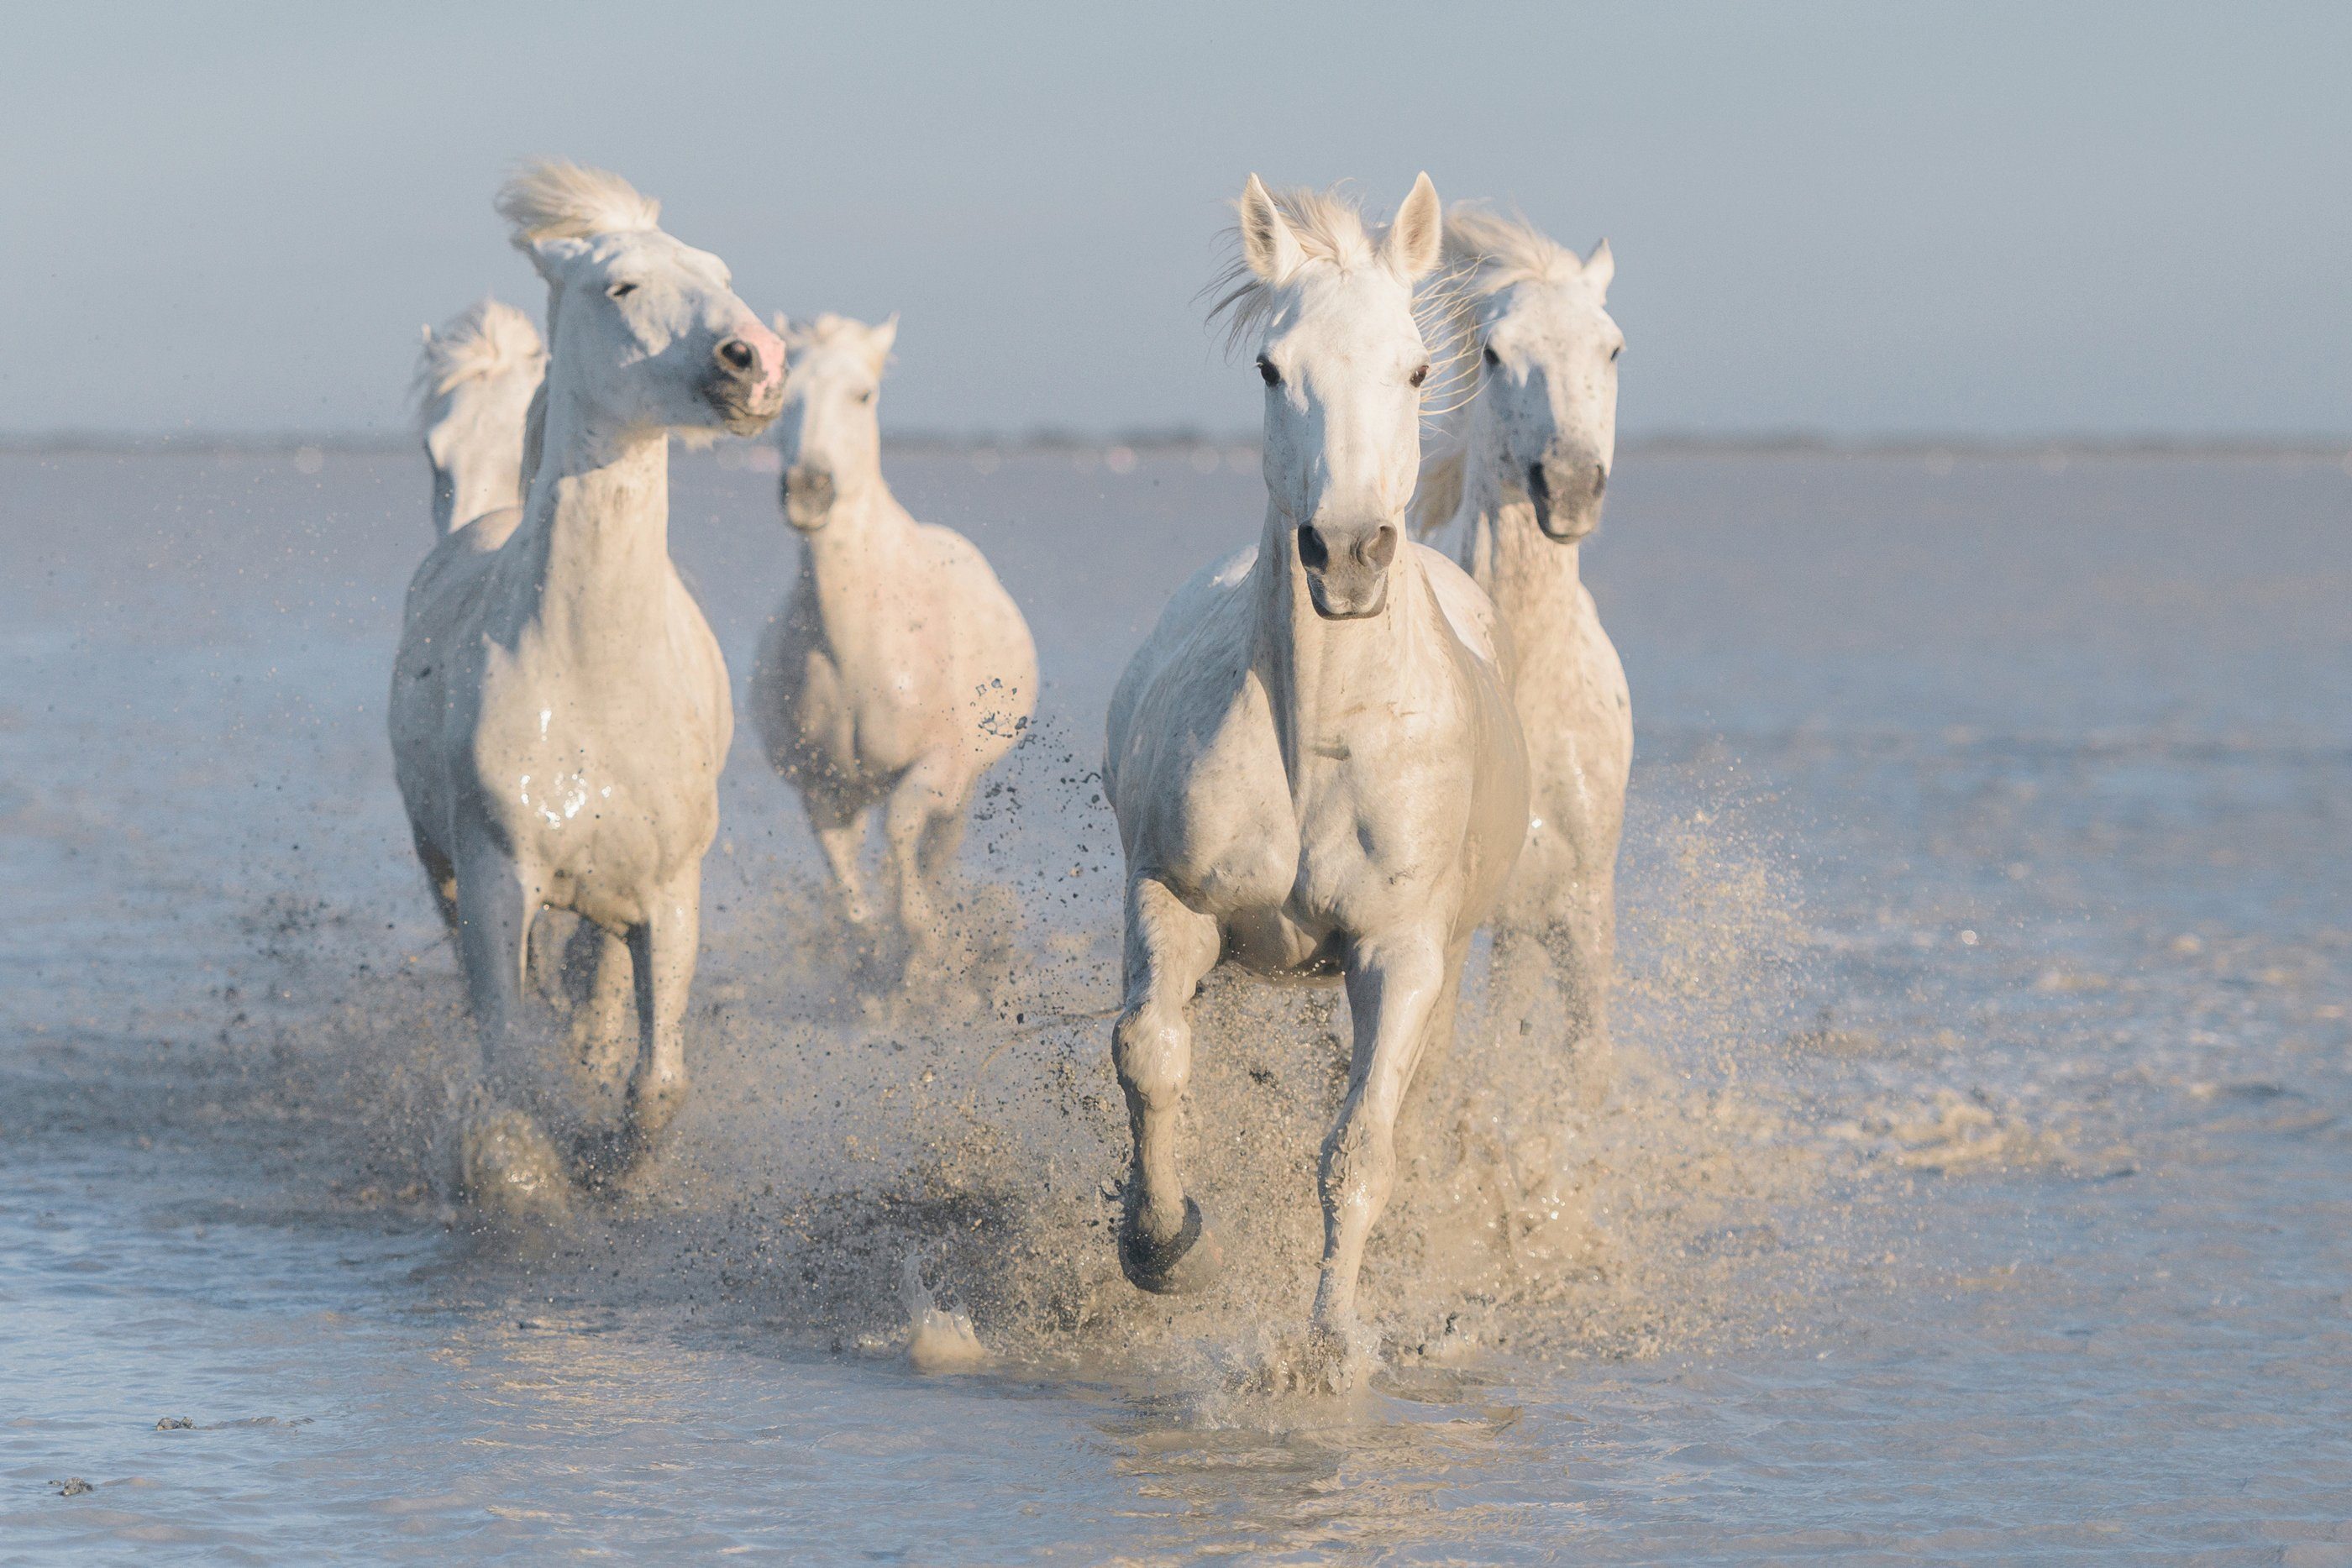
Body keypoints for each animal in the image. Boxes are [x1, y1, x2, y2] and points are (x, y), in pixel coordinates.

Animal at [1105, 177, 1533, 1363]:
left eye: (1417, 368)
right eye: (1270, 366)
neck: (1322, 742)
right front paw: (1164, 1244)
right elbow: (1149, 1051)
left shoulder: (1400, 952)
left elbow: (1359, 1148)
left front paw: (1331, 1346)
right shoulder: (1172, 898)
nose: (1345, 555)